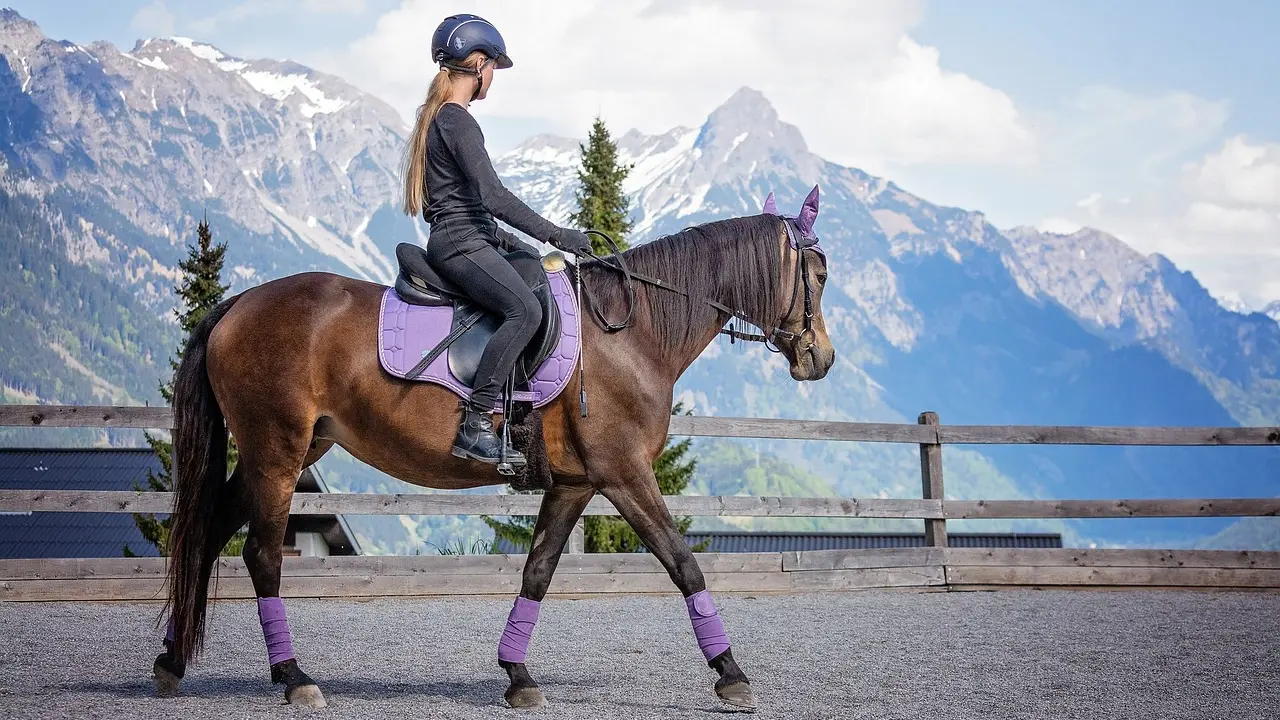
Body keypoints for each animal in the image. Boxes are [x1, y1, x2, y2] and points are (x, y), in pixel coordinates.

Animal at [154, 181, 834, 707]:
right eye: (820, 274)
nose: (821, 359)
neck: (631, 333)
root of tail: (240, 303)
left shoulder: (575, 483)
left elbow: (538, 571)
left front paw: (517, 675)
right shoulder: (624, 474)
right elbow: (682, 561)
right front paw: (732, 674)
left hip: (287, 450)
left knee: (208, 533)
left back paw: (172, 662)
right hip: (277, 450)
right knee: (260, 555)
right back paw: (293, 677)